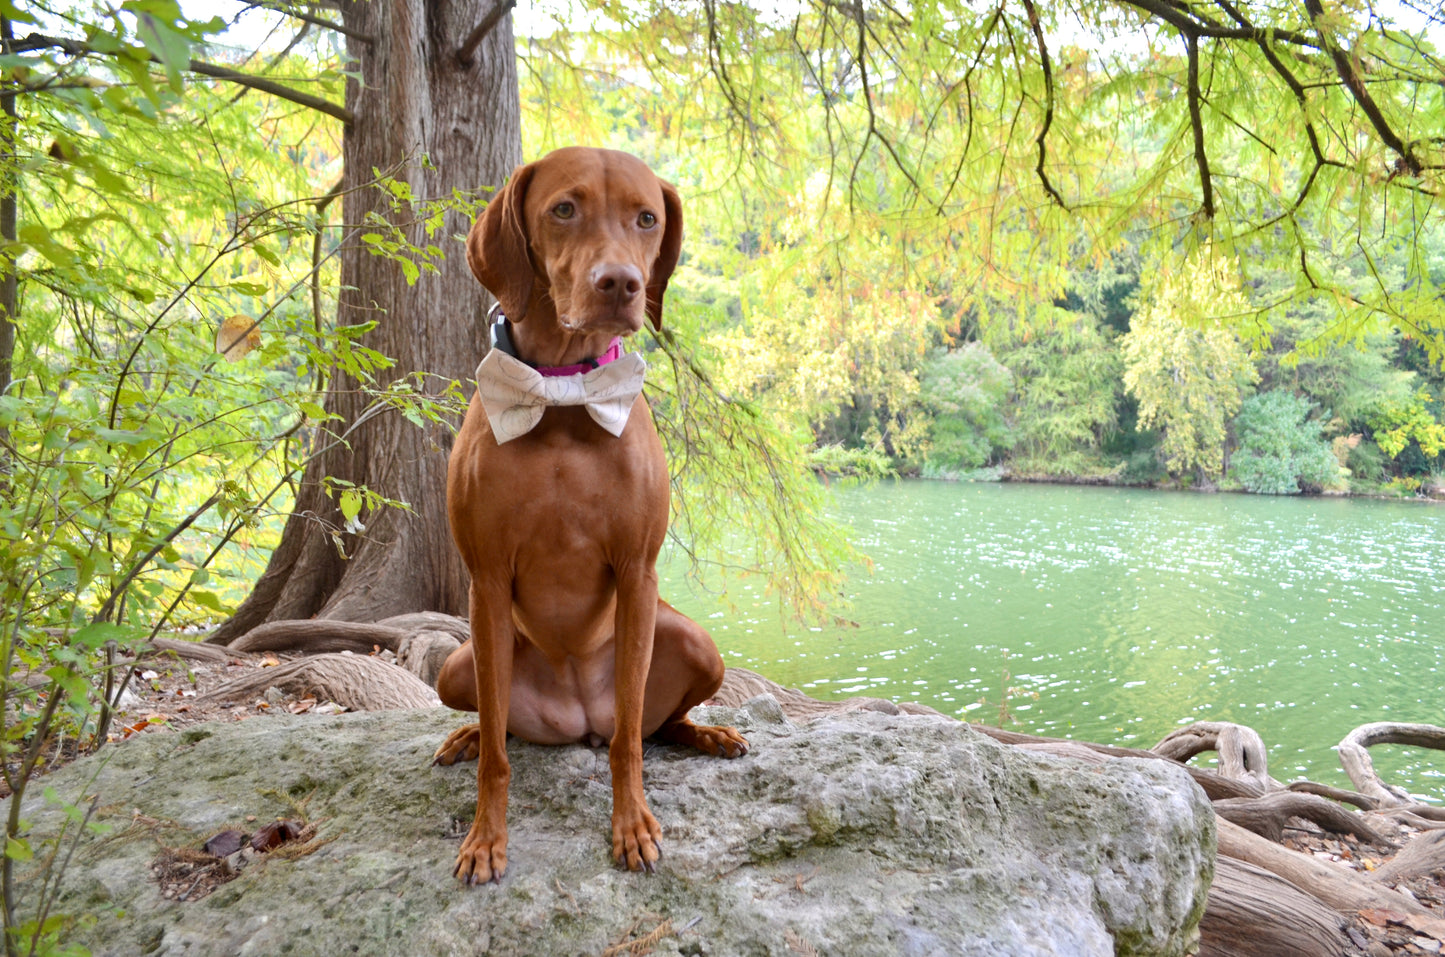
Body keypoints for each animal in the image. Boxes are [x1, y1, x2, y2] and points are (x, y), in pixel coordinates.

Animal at [430, 146, 745, 890]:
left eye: (646, 218)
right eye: (563, 209)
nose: (620, 284)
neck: (564, 395)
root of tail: (577, 723)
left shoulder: (636, 574)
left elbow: (630, 740)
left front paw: (632, 826)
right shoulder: (485, 579)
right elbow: (499, 755)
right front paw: (485, 838)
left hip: (696, 644)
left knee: (651, 727)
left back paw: (705, 733)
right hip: (456, 664)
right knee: (498, 722)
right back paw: (467, 734)